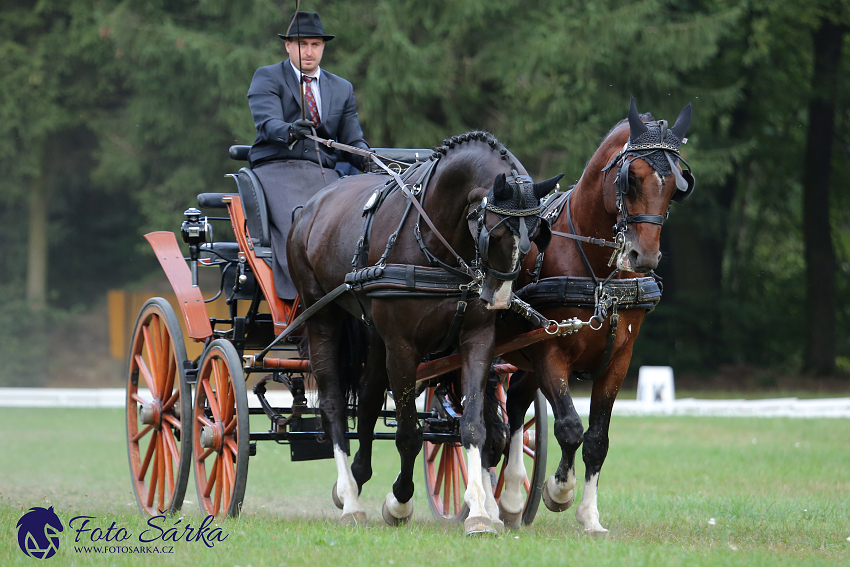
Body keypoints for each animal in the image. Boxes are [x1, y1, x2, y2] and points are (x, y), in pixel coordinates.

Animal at [288, 133, 560, 536]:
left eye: (536, 237)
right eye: (494, 233)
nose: (498, 299)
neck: (435, 240)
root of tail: (310, 206)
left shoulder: (477, 339)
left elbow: (473, 426)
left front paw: (480, 514)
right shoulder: (403, 348)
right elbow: (409, 434)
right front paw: (399, 502)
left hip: (376, 334)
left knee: (368, 397)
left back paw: (356, 476)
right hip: (321, 316)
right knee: (334, 402)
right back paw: (350, 499)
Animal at [496, 97, 688, 536]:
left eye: (676, 185)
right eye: (632, 178)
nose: (643, 256)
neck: (598, 274)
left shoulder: (618, 360)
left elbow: (597, 439)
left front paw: (589, 516)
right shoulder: (550, 349)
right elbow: (569, 427)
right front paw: (558, 491)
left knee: (514, 406)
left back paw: (512, 498)